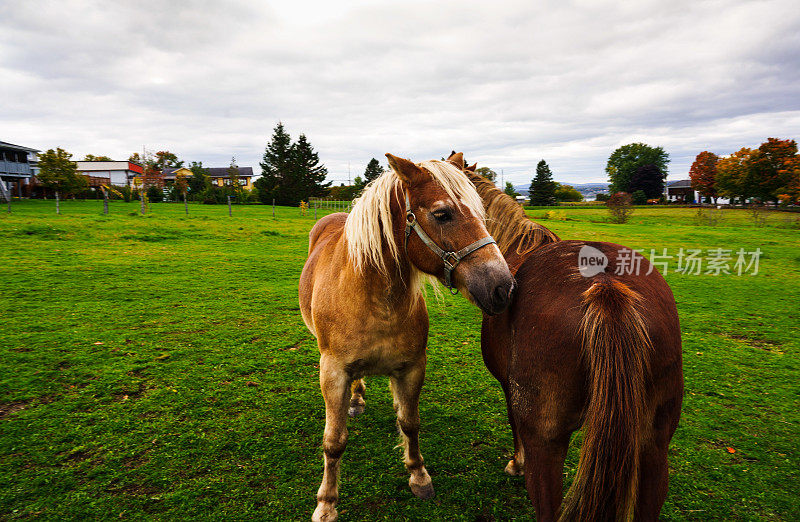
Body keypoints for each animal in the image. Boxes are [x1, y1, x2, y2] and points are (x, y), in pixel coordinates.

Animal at [298, 153, 512, 520]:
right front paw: (326, 503)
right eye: (442, 214)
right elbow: (334, 441)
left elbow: (410, 422)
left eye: (481, 212)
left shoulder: (412, 367)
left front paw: (418, 475)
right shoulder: (334, 372)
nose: (503, 286)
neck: (373, 297)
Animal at [460, 157, 684, 520]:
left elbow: (513, 422)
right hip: (654, 443)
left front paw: (516, 463)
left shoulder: (510, 389)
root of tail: (605, 286)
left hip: (547, 443)